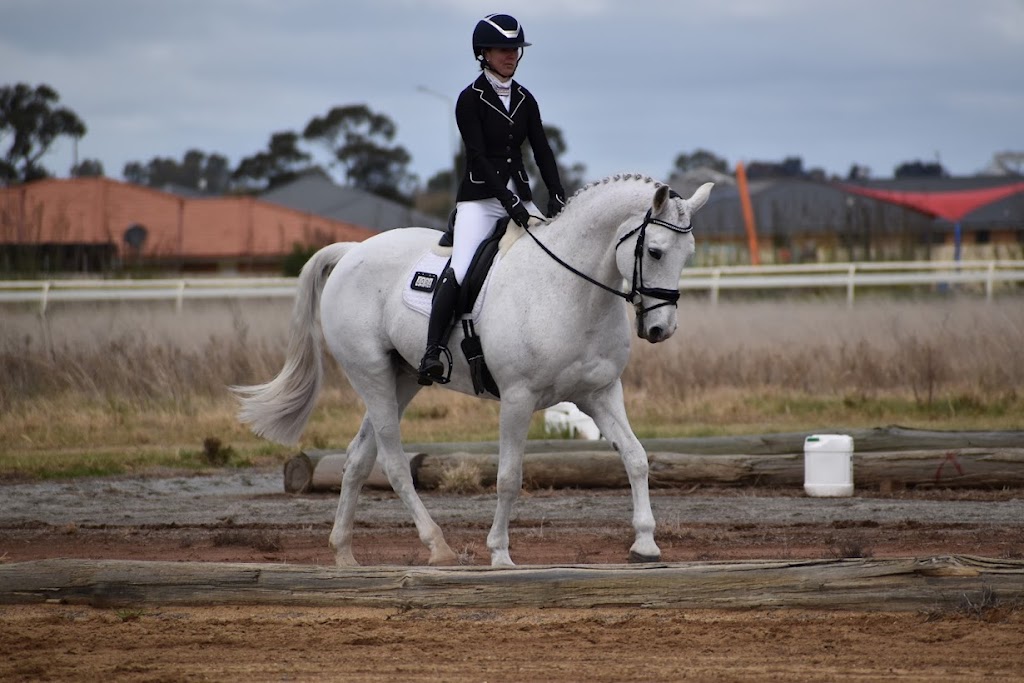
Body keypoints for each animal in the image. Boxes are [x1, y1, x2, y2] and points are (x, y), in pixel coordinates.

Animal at [232, 175, 712, 565]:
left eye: (688, 254)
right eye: (655, 251)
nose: (660, 329)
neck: (570, 290)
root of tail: (353, 252)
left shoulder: (601, 393)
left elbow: (637, 458)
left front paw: (645, 545)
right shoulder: (518, 399)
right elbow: (508, 478)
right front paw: (500, 553)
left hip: (400, 379)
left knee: (357, 458)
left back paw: (344, 554)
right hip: (370, 375)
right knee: (393, 462)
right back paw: (437, 546)